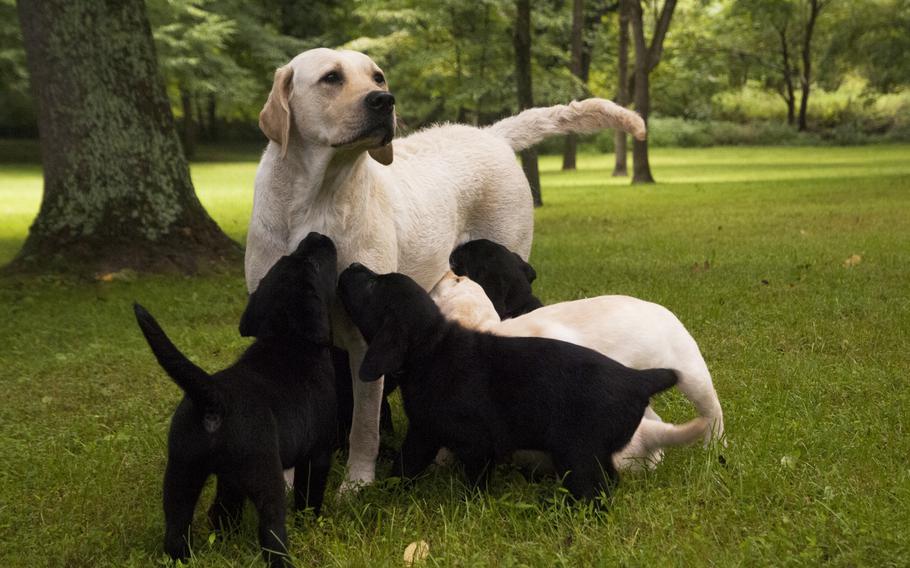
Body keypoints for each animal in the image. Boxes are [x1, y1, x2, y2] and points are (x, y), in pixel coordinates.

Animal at [139, 232, 342, 568]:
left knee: (180, 523)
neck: (286, 337)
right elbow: (308, 495)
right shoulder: (319, 452)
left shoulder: (224, 476)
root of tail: (213, 396)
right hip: (265, 474)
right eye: (313, 263)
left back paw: (189, 556)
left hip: (182, 470)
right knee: (271, 528)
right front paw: (312, 522)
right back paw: (282, 560)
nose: (317, 235)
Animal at [244, 47, 648, 488]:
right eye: (331, 77)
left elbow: (364, 425)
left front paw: (358, 483)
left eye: (377, 77)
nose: (384, 101)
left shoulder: (365, 338)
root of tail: (491, 134)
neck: (316, 199)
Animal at [338, 262, 680, 502]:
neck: (433, 345)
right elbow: (413, 460)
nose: (353, 264)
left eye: (372, 285)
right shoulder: (428, 429)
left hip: (578, 451)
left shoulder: (471, 437)